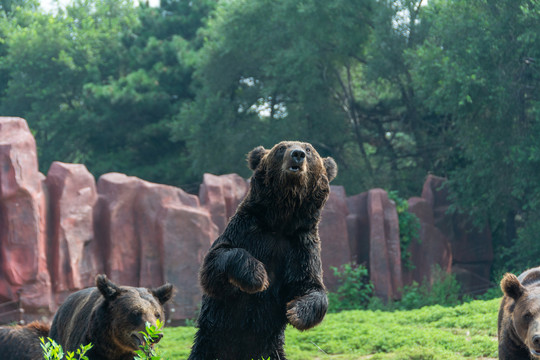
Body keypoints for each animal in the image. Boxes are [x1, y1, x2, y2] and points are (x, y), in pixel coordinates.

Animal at [188, 141, 336, 360]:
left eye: (309, 150)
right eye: (282, 148)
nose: (297, 154)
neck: (281, 222)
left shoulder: (300, 245)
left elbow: (310, 285)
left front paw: (296, 312)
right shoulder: (246, 230)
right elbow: (216, 263)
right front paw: (257, 277)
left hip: (271, 349)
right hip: (211, 342)